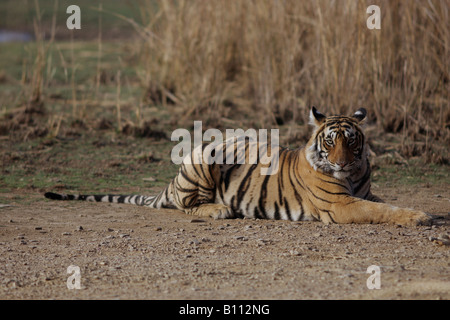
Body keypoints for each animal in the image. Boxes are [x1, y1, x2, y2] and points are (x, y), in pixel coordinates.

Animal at [44, 106, 432, 226]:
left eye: (351, 141)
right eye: (329, 141)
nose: (340, 163)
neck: (352, 175)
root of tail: (171, 180)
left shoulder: (362, 193)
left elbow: (385, 204)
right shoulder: (339, 204)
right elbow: (382, 211)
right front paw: (420, 217)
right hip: (205, 156)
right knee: (185, 205)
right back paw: (219, 209)